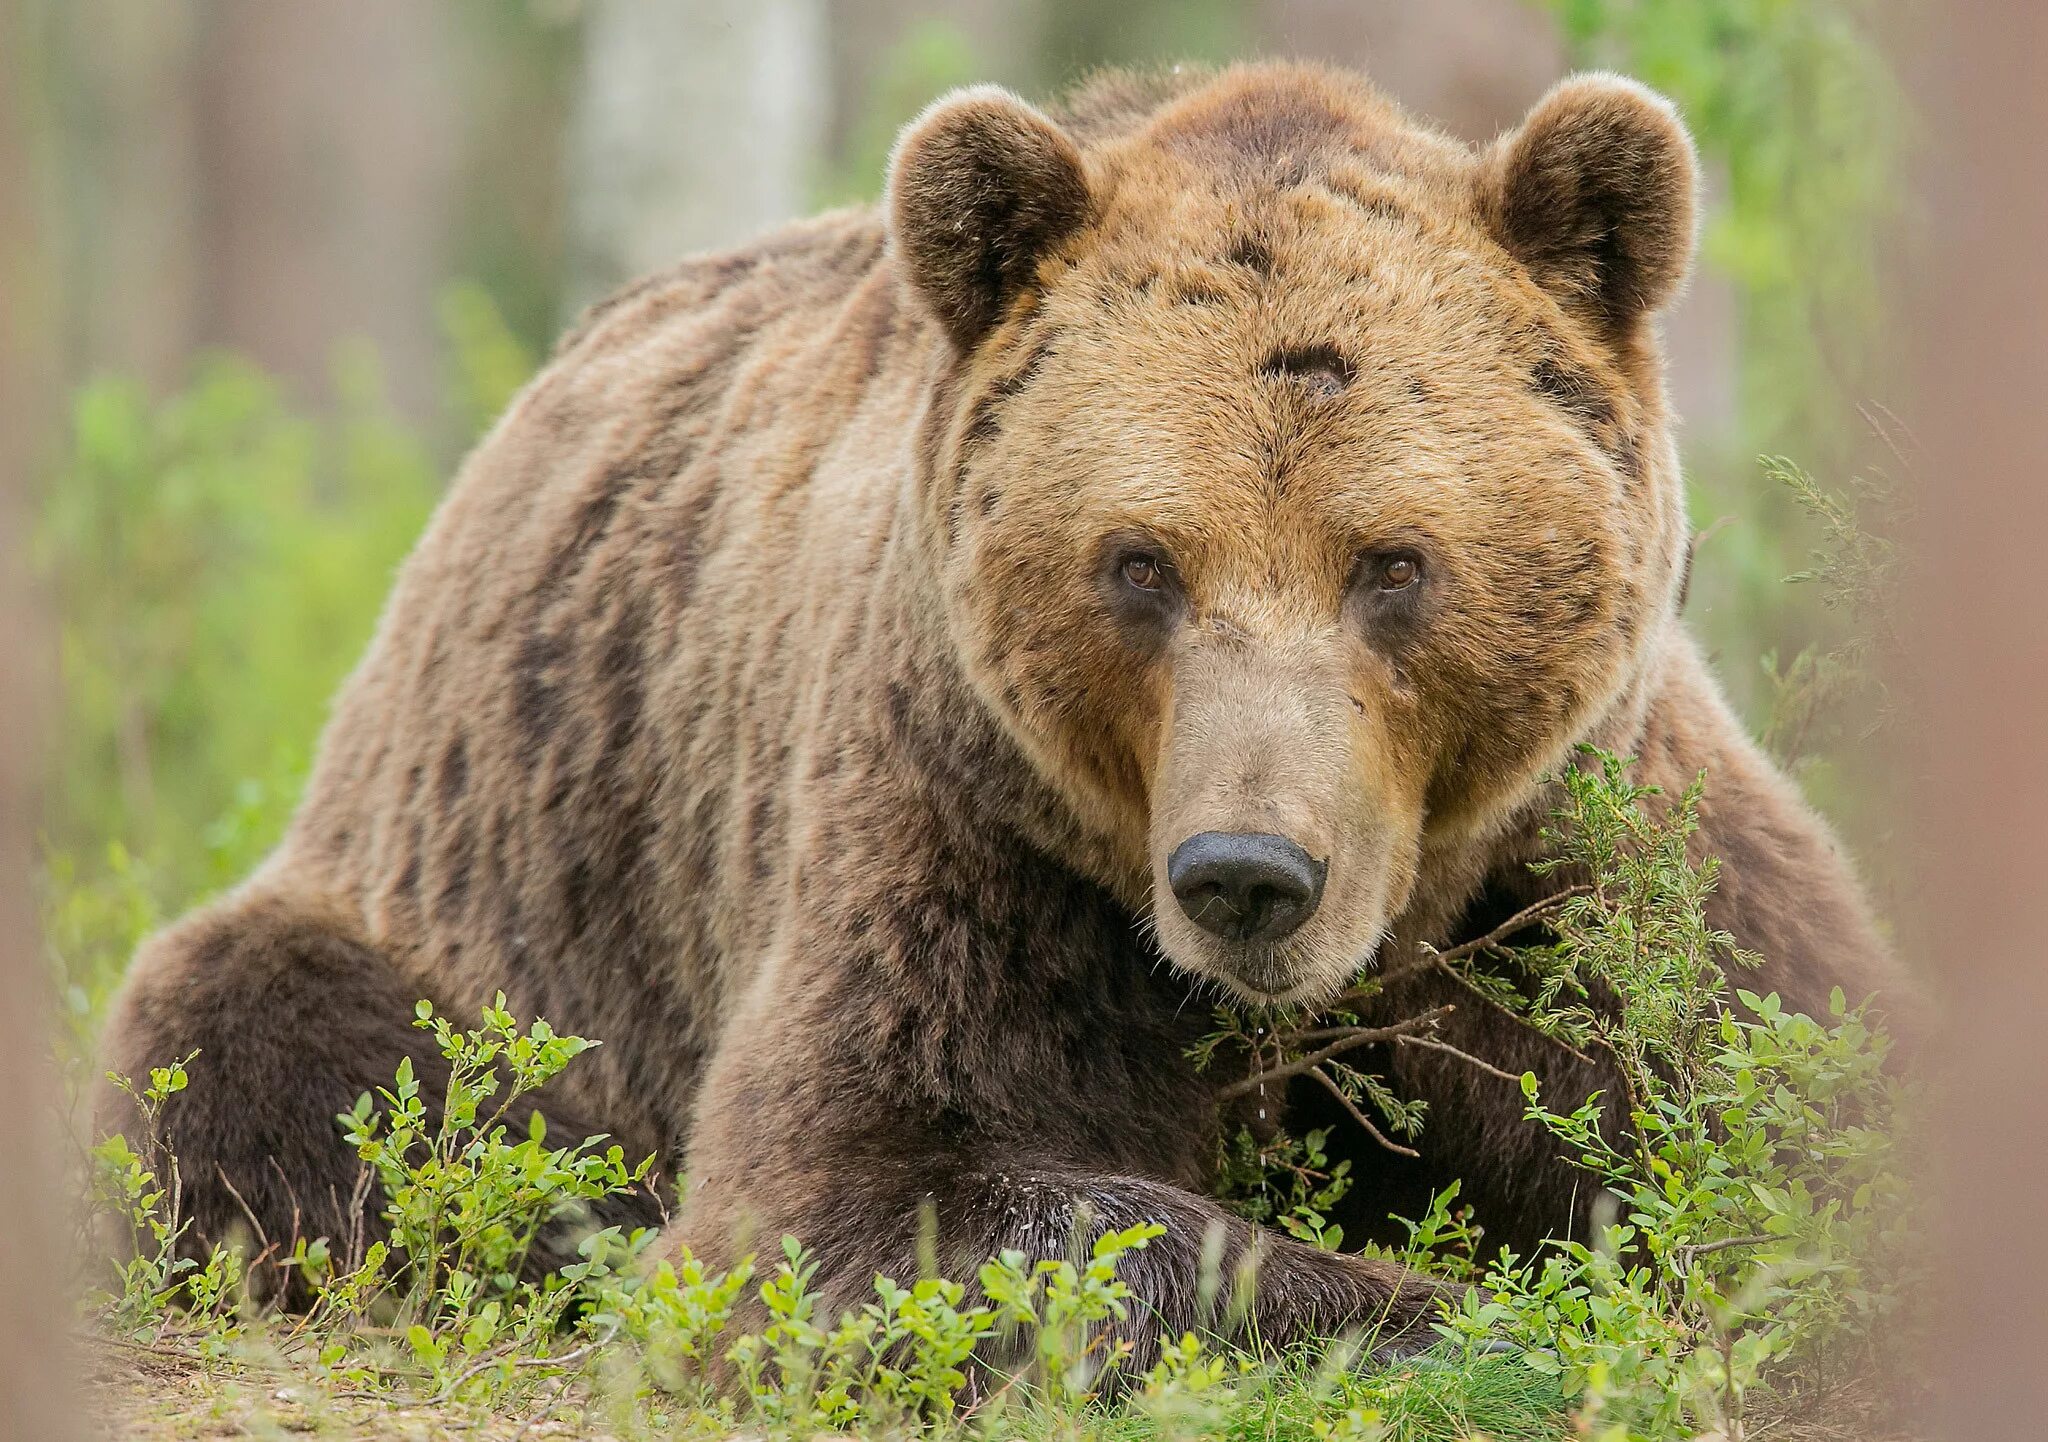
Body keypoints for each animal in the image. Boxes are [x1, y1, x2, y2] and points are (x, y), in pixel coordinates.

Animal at [103, 59, 1900, 1360]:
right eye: (1139, 561)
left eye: (1392, 560)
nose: (1247, 874)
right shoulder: (970, 828)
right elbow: (875, 1193)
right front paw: (1442, 1310)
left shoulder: (1571, 865)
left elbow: (1785, 1088)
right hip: (491, 900)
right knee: (280, 1051)